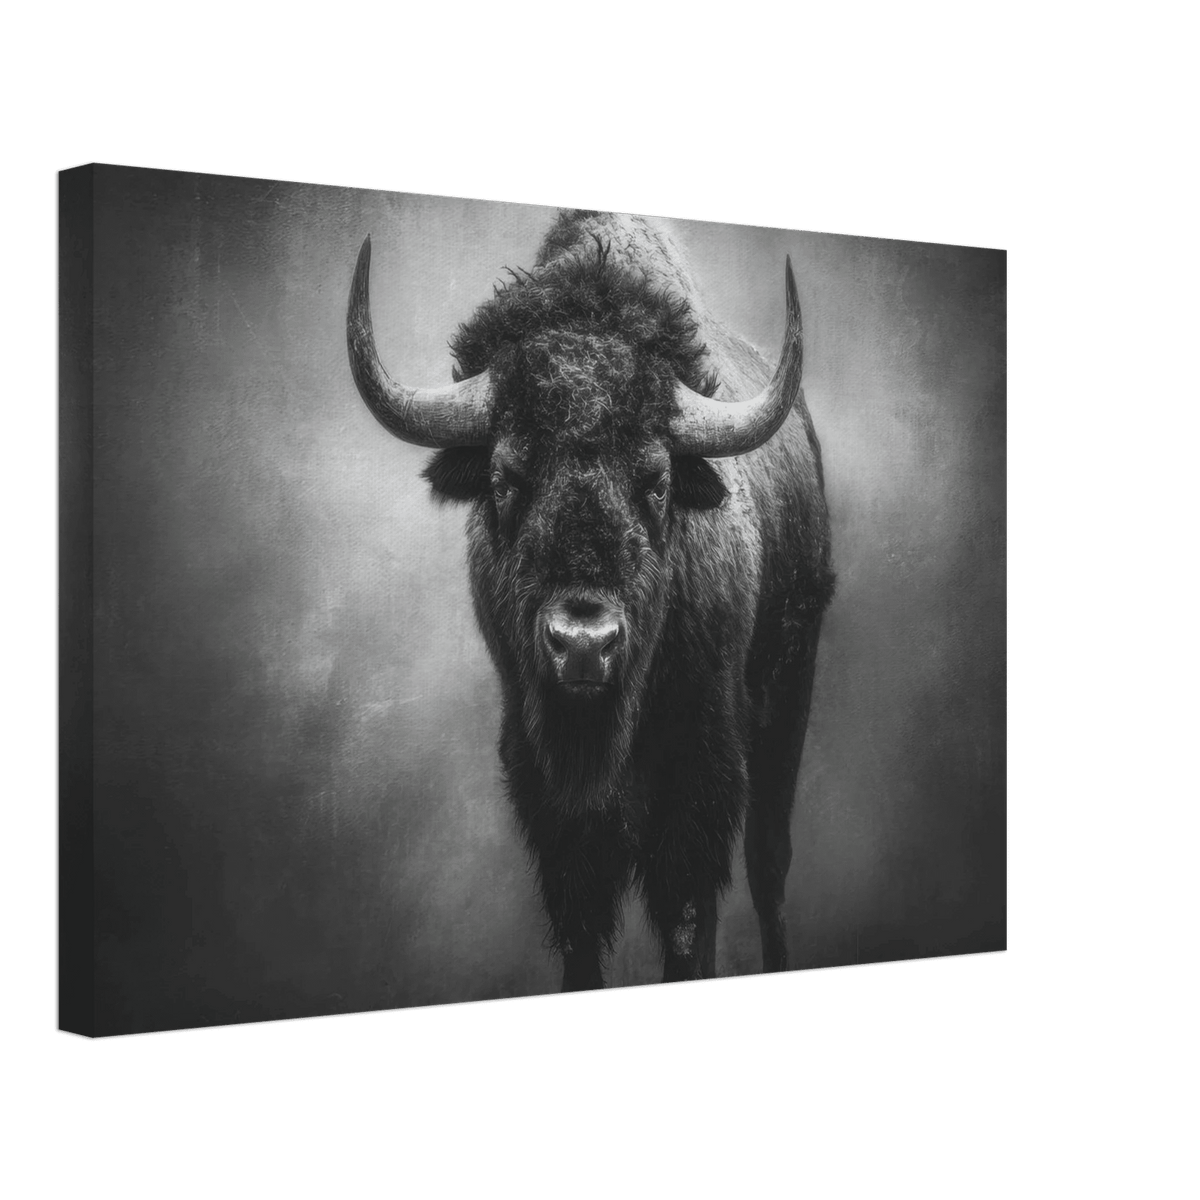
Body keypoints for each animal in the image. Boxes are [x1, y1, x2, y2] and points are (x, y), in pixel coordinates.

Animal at [347, 209, 834, 992]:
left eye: (657, 481)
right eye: (506, 478)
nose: (583, 645)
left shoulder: (699, 773)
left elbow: (685, 914)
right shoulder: (548, 793)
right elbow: (582, 927)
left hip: (788, 692)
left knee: (768, 867)